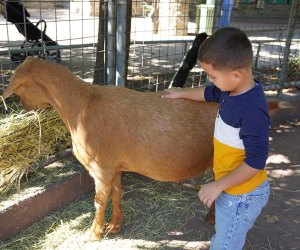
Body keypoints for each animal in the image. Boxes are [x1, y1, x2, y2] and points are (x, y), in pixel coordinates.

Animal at [2, 57, 218, 241]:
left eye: (19, 89)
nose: (25, 106)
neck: (82, 106)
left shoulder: (100, 168)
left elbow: (99, 200)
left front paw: (93, 233)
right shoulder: (114, 167)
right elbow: (116, 193)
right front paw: (114, 226)